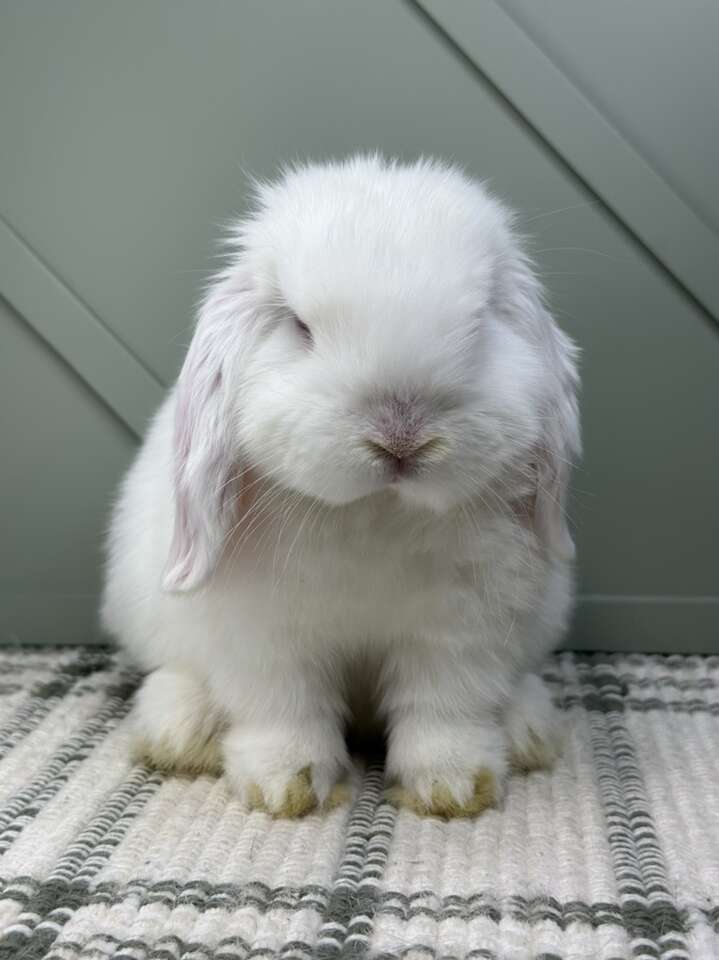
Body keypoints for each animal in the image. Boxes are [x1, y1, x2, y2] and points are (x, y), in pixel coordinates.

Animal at [101, 158, 580, 816]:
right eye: (300, 326)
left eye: (480, 323)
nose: (401, 435)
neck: (376, 512)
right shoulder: (266, 637)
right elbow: (284, 710)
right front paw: (285, 788)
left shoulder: (459, 632)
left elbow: (444, 708)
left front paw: (453, 788)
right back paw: (177, 732)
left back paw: (529, 729)